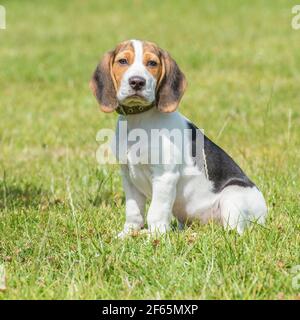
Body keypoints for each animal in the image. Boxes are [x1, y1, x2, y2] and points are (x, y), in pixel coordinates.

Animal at [89, 38, 268, 236]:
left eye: (152, 63)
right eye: (122, 61)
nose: (137, 82)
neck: (138, 119)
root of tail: (265, 213)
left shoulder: (165, 175)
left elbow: (156, 212)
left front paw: (155, 236)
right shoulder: (128, 176)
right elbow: (133, 211)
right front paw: (128, 233)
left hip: (233, 195)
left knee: (232, 232)